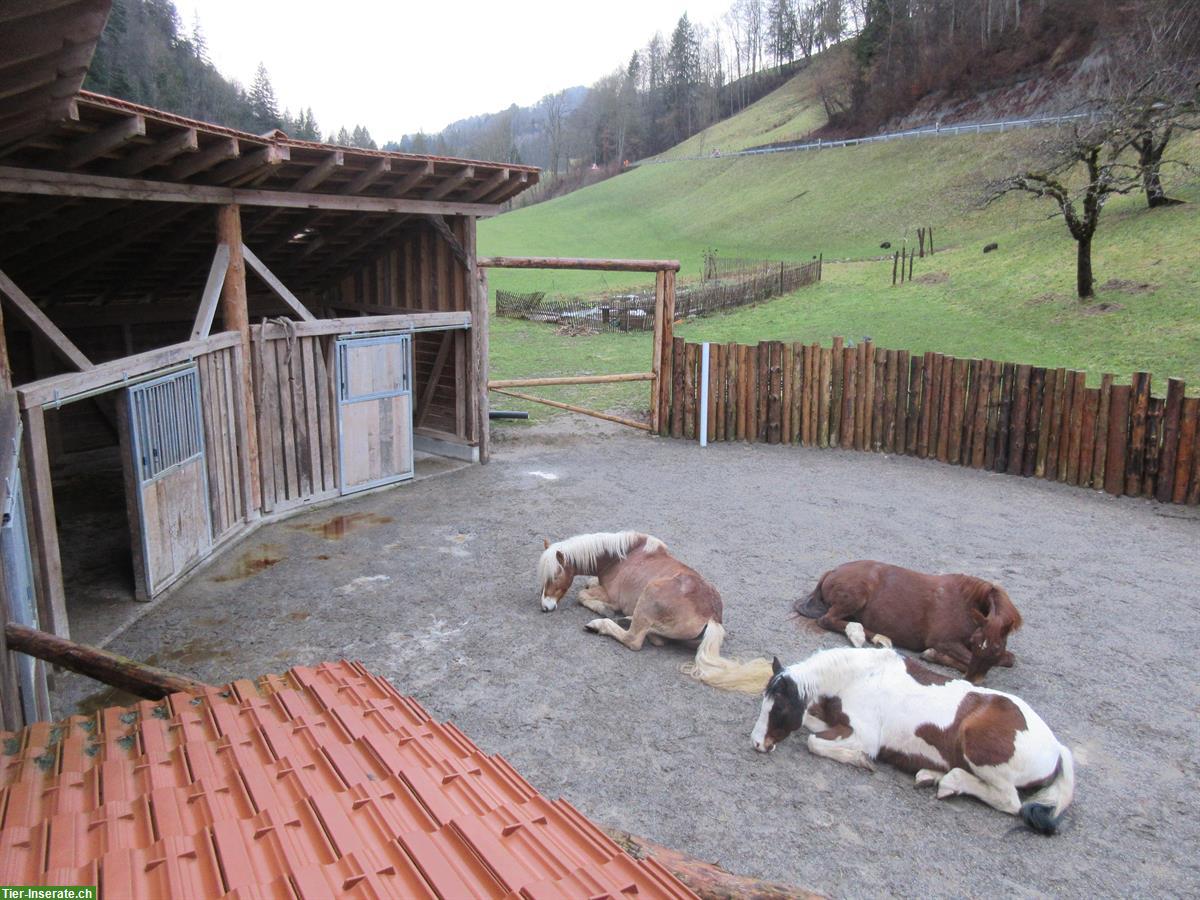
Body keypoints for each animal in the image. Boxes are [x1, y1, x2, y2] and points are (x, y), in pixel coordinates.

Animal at [535, 532, 768, 696]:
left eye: (555, 576)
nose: (545, 607)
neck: (621, 557)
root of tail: (712, 617)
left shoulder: (611, 596)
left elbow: (582, 595)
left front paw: (604, 609)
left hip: (650, 593)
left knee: (635, 639)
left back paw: (601, 623)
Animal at [748, 648, 1080, 840]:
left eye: (779, 707)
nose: (757, 744)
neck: (859, 676)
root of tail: (1057, 748)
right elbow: (810, 725)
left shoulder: (863, 736)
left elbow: (814, 743)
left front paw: (862, 761)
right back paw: (930, 776)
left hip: (979, 750)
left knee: (1009, 801)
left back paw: (949, 782)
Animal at [796, 564, 1022, 681]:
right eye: (976, 643)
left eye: (996, 648)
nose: (972, 681)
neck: (966, 603)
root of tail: (832, 571)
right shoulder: (944, 641)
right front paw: (933, 655)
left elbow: (1009, 659)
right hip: (855, 596)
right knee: (828, 620)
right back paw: (861, 634)